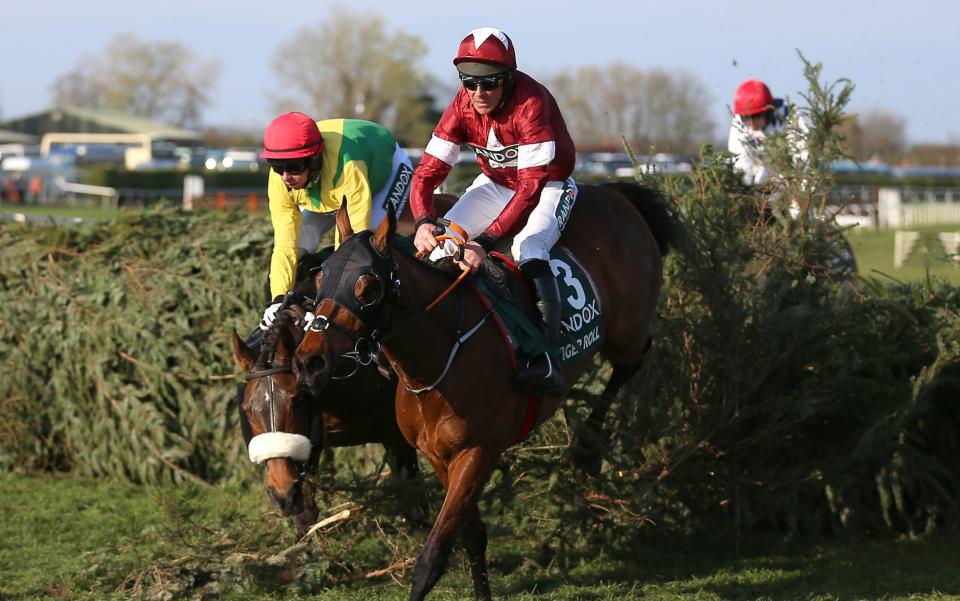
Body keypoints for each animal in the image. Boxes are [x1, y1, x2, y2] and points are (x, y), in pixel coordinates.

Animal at [292, 180, 676, 596]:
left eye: (368, 287)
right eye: (320, 279)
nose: (309, 361)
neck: (440, 357)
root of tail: (614, 194)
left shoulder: (476, 453)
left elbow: (433, 556)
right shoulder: (438, 455)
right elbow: (471, 534)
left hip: (625, 332)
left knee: (632, 360)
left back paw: (587, 449)